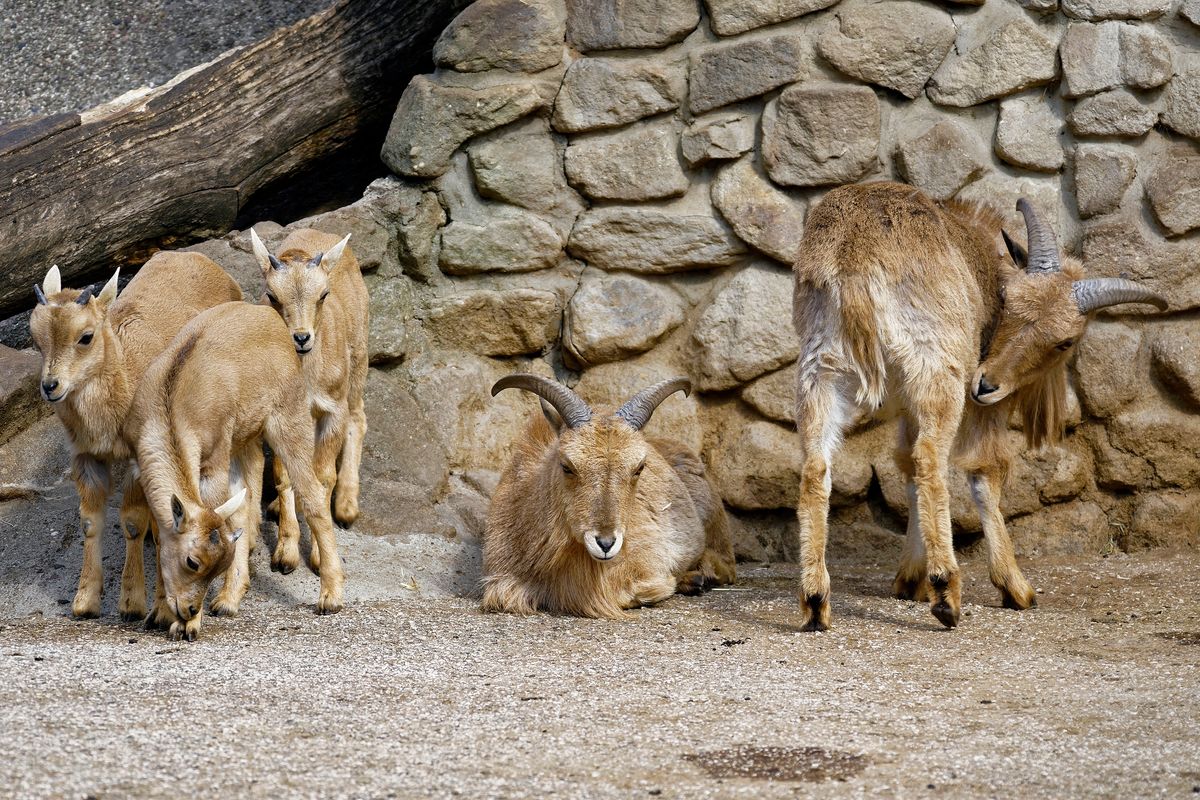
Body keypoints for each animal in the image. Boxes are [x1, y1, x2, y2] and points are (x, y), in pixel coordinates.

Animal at [28, 255, 241, 618]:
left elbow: (132, 521)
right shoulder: (86, 456)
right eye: (36, 336)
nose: (51, 386)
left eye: (86, 336)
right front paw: (86, 601)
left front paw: (133, 603)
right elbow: (90, 521)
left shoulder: (139, 457)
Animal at [127, 298, 348, 638]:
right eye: (193, 562)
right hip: (246, 438)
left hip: (288, 419)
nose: (190, 609)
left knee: (312, 495)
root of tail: (271, 319)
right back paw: (230, 600)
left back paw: (330, 596)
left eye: (212, 565)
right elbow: (164, 535)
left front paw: (186, 626)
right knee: (249, 498)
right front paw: (161, 612)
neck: (171, 406)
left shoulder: (214, 461)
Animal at [249, 230, 369, 575]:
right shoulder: (278, 417)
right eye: (272, 295)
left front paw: (317, 555)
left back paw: (346, 506)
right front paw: (286, 553)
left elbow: (323, 476)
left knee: (358, 418)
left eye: (323, 294)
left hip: (359, 360)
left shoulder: (332, 410)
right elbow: (285, 475)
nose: (301, 338)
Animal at [792, 181, 1166, 633]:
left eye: (1063, 341)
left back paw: (816, 601)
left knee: (817, 468)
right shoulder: (974, 403)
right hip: (939, 372)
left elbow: (904, 465)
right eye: (1009, 302)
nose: (987, 384)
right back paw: (946, 593)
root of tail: (855, 254)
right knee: (931, 459)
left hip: (822, 370)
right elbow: (984, 472)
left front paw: (909, 579)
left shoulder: (909, 406)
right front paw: (1015, 588)